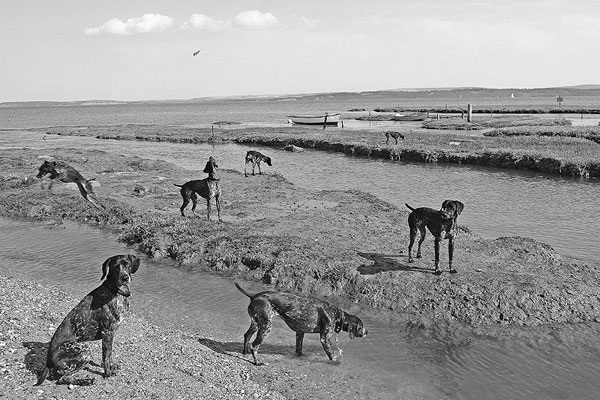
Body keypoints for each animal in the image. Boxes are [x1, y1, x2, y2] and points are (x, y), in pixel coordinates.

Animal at [36, 255, 141, 386]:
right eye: (116, 267)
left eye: (127, 264)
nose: (125, 277)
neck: (114, 291)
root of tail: (48, 363)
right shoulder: (107, 332)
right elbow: (107, 356)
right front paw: (107, 373)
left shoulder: (109, 335)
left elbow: (109, 354)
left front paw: (111, 366)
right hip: (84, 350)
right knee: (63, 379)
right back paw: (85, 380)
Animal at [236, 282, 368, 366]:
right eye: (361, 327)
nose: (367, 332)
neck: (336, 314)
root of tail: (255, 296)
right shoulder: (324, 339)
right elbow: (332, 354)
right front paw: (336, 362)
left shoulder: (300, 332)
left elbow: (299, 349)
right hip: (266, 327)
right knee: (254, 346)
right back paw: (257, 362)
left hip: (256, 324)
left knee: (247, 336)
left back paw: (245, 352)